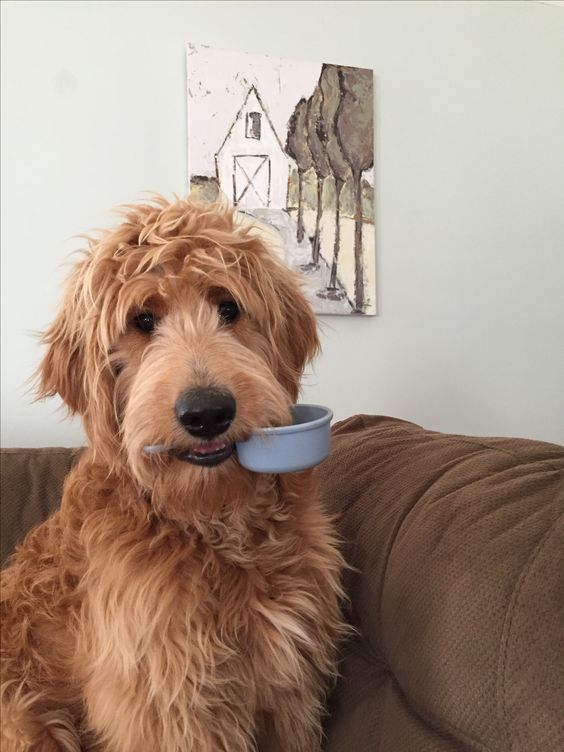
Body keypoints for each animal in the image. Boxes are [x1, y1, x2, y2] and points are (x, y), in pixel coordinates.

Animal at [0, 198, 346, 752]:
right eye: (142, 320)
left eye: (228, 308)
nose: (207, 413)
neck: (210, 521)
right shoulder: (167, 703)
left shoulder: (287, 683)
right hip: (25, 721)